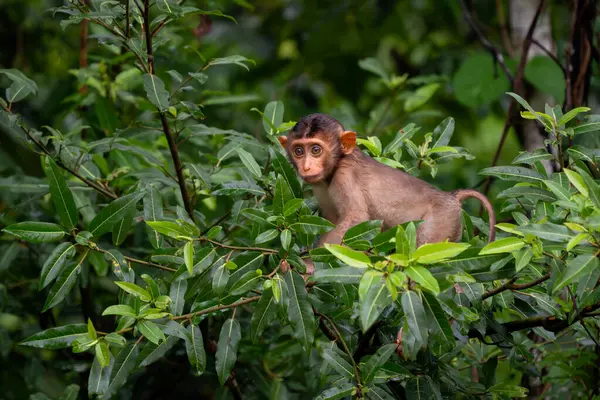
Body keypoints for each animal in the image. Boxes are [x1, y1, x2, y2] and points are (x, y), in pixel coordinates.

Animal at [278, 113, 494, 262]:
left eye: (316, 149)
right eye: (299, 151)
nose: (306, 167)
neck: (339, 162)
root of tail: (451, 197)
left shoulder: (344, 177)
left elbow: (356, 218)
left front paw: (310, 265)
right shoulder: (321, 185)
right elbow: (331, 219)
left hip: (442, 222)